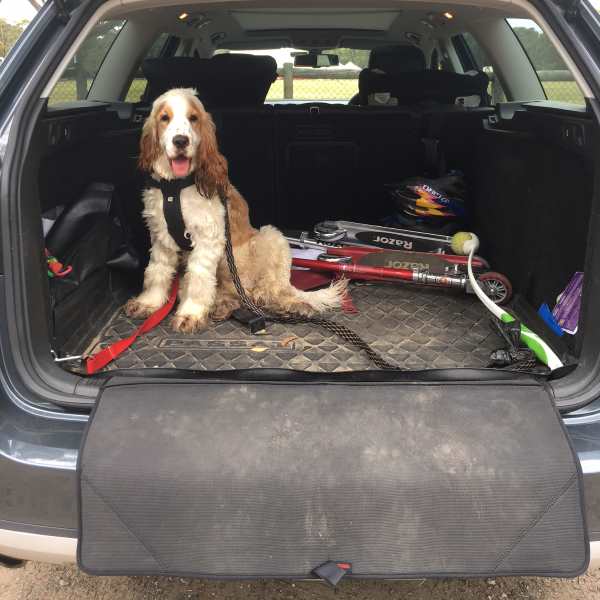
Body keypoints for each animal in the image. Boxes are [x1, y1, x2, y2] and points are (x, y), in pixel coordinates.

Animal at [125, 88, 346, 333]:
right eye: (165, 118)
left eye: (193, 118)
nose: (181, 141)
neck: (175, 188)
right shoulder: (161, 237)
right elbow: (157, 270)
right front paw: (148, 303)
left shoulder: (207, 239)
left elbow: (198, 278)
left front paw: (190, 314)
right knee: (234, 295)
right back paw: (223, 306)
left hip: (271, 236)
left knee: (272, 290)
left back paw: (290, 304)